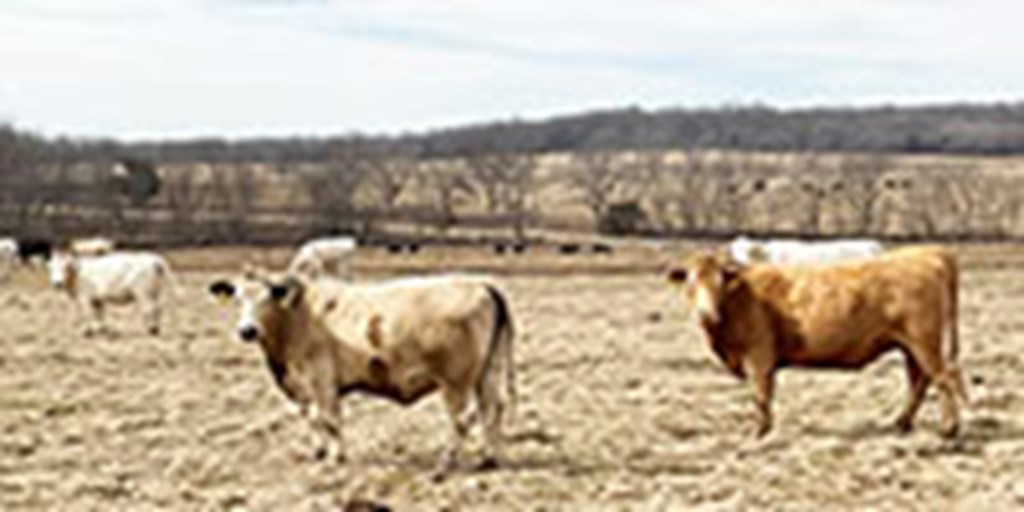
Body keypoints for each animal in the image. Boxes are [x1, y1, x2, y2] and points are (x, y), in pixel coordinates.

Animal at [48, 250, 176, 335]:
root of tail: (154, 259)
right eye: (51, 268)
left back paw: (150, 329)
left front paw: (87, 331)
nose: (57, 283)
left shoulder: (84, 297)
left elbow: (86, 313)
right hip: (155, 292)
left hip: (143, 292)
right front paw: (101, 329)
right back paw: (156, 329)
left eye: (66, 267)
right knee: (158, 307)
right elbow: (99, 313)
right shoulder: (97, 299)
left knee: (149, 308)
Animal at [208, 270, 516, 473]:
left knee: (462, 419)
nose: (247, 330)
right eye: (237, 299)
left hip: (456, 382)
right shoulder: (306, 388)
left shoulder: (321, 379)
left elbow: (329, 419)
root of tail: (481, 284)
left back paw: (446, 462)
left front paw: (336, 458)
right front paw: (320, 451)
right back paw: (490, 458)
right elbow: (314, 418)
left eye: (266, 299)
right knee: (492, 408)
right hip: (487, 373)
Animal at [663, 245, 966, 438]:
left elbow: (760, 393)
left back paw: (948, 430)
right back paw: (902, 423)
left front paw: (759, 431)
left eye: (719, 283)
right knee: (919, 382)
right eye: (690, 284)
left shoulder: (758, 355)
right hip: (910, 346)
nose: (707, 314)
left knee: (942, 378)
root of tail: (930, 252)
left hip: (924, 342)